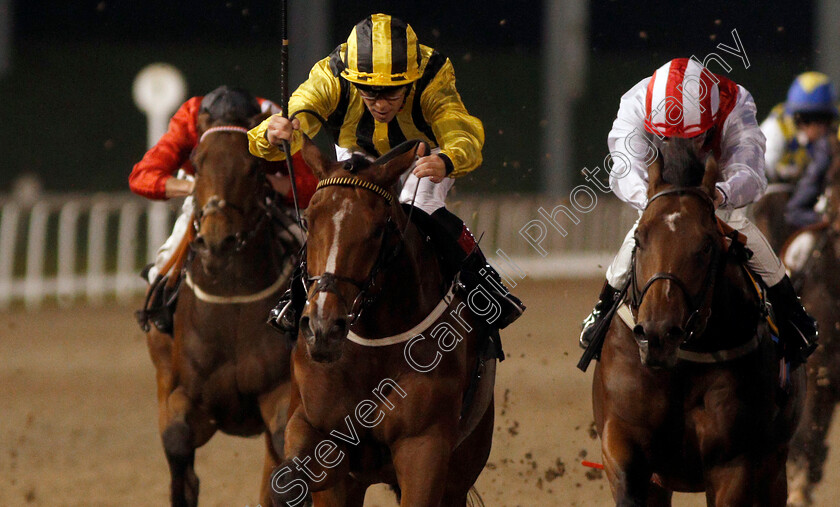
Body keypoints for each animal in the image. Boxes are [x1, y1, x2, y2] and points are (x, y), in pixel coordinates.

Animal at [144, 112, 302, 507]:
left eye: (254, 167)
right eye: (197, 163)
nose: (217, 241)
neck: (231, 304)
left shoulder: (280, 394)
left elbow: (285, 456)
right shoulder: (183, 395)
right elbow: (176, 444)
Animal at [266, 137, 496, 506]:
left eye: (377, 230)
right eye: (309, 221)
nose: (323, 328)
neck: (372, 350)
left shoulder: (425, 446)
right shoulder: (315, 428)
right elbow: (287, 480)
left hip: (463, 465)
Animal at [592, 141, 804, 506]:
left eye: (706, 244)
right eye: (639, 239)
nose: (658, 334)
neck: (682, 365)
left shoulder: (734, 462)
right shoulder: (621, 442)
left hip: (774, 466)